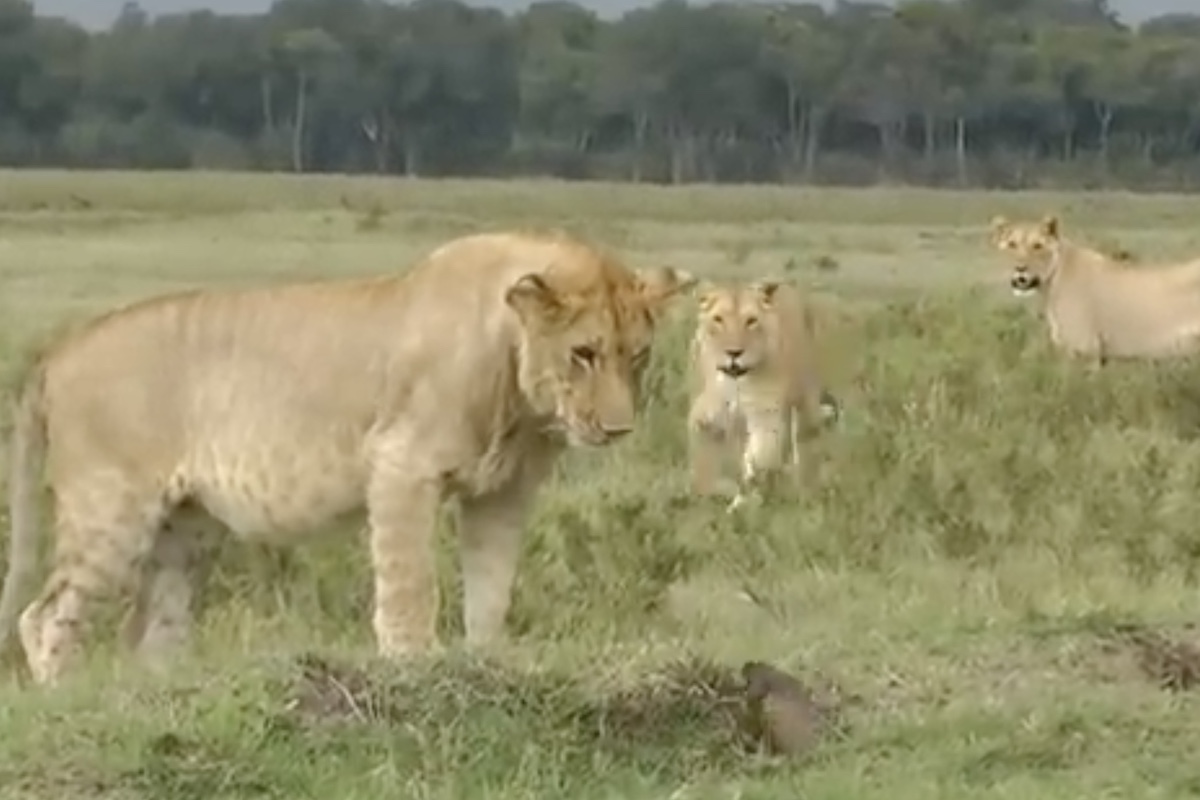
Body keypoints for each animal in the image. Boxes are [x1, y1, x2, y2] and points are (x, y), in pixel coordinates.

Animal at [0, 229, 695, 685]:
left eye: (638, 356)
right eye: (583, 354)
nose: (619, 428)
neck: (517, 393)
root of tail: (57, 353)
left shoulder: (502, 493)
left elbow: (491, 587)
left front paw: (485, 663)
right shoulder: (401, 467)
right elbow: (410, 582)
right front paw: (414, 667)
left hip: (185, 529)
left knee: (150, 629)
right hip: (112, 510)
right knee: (45, 616)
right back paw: (63, 698)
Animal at [686, 279, 840, 512]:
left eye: (751, 321)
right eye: (718, 319)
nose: (734, 353)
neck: (736, 382)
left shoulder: (765, 414)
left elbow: (760, 456)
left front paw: (745, 500)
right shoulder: (706, 417)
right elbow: (706, 463)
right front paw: (712, 492)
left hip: (804, 405)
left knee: (804, 448)